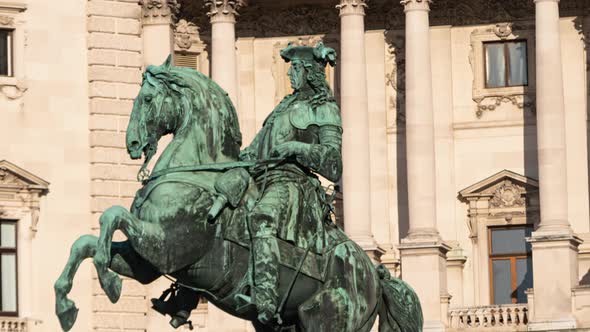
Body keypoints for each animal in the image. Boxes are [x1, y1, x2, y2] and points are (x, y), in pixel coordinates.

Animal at [55, 57, 424, 332]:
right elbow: (85, 243)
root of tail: (373, 273)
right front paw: (65, 303)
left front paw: (108, 282)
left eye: (147, 99)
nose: (132, 144)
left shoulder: (167, 247)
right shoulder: (146, 262)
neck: (194, 173)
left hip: (327, 318)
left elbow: (112, 216)